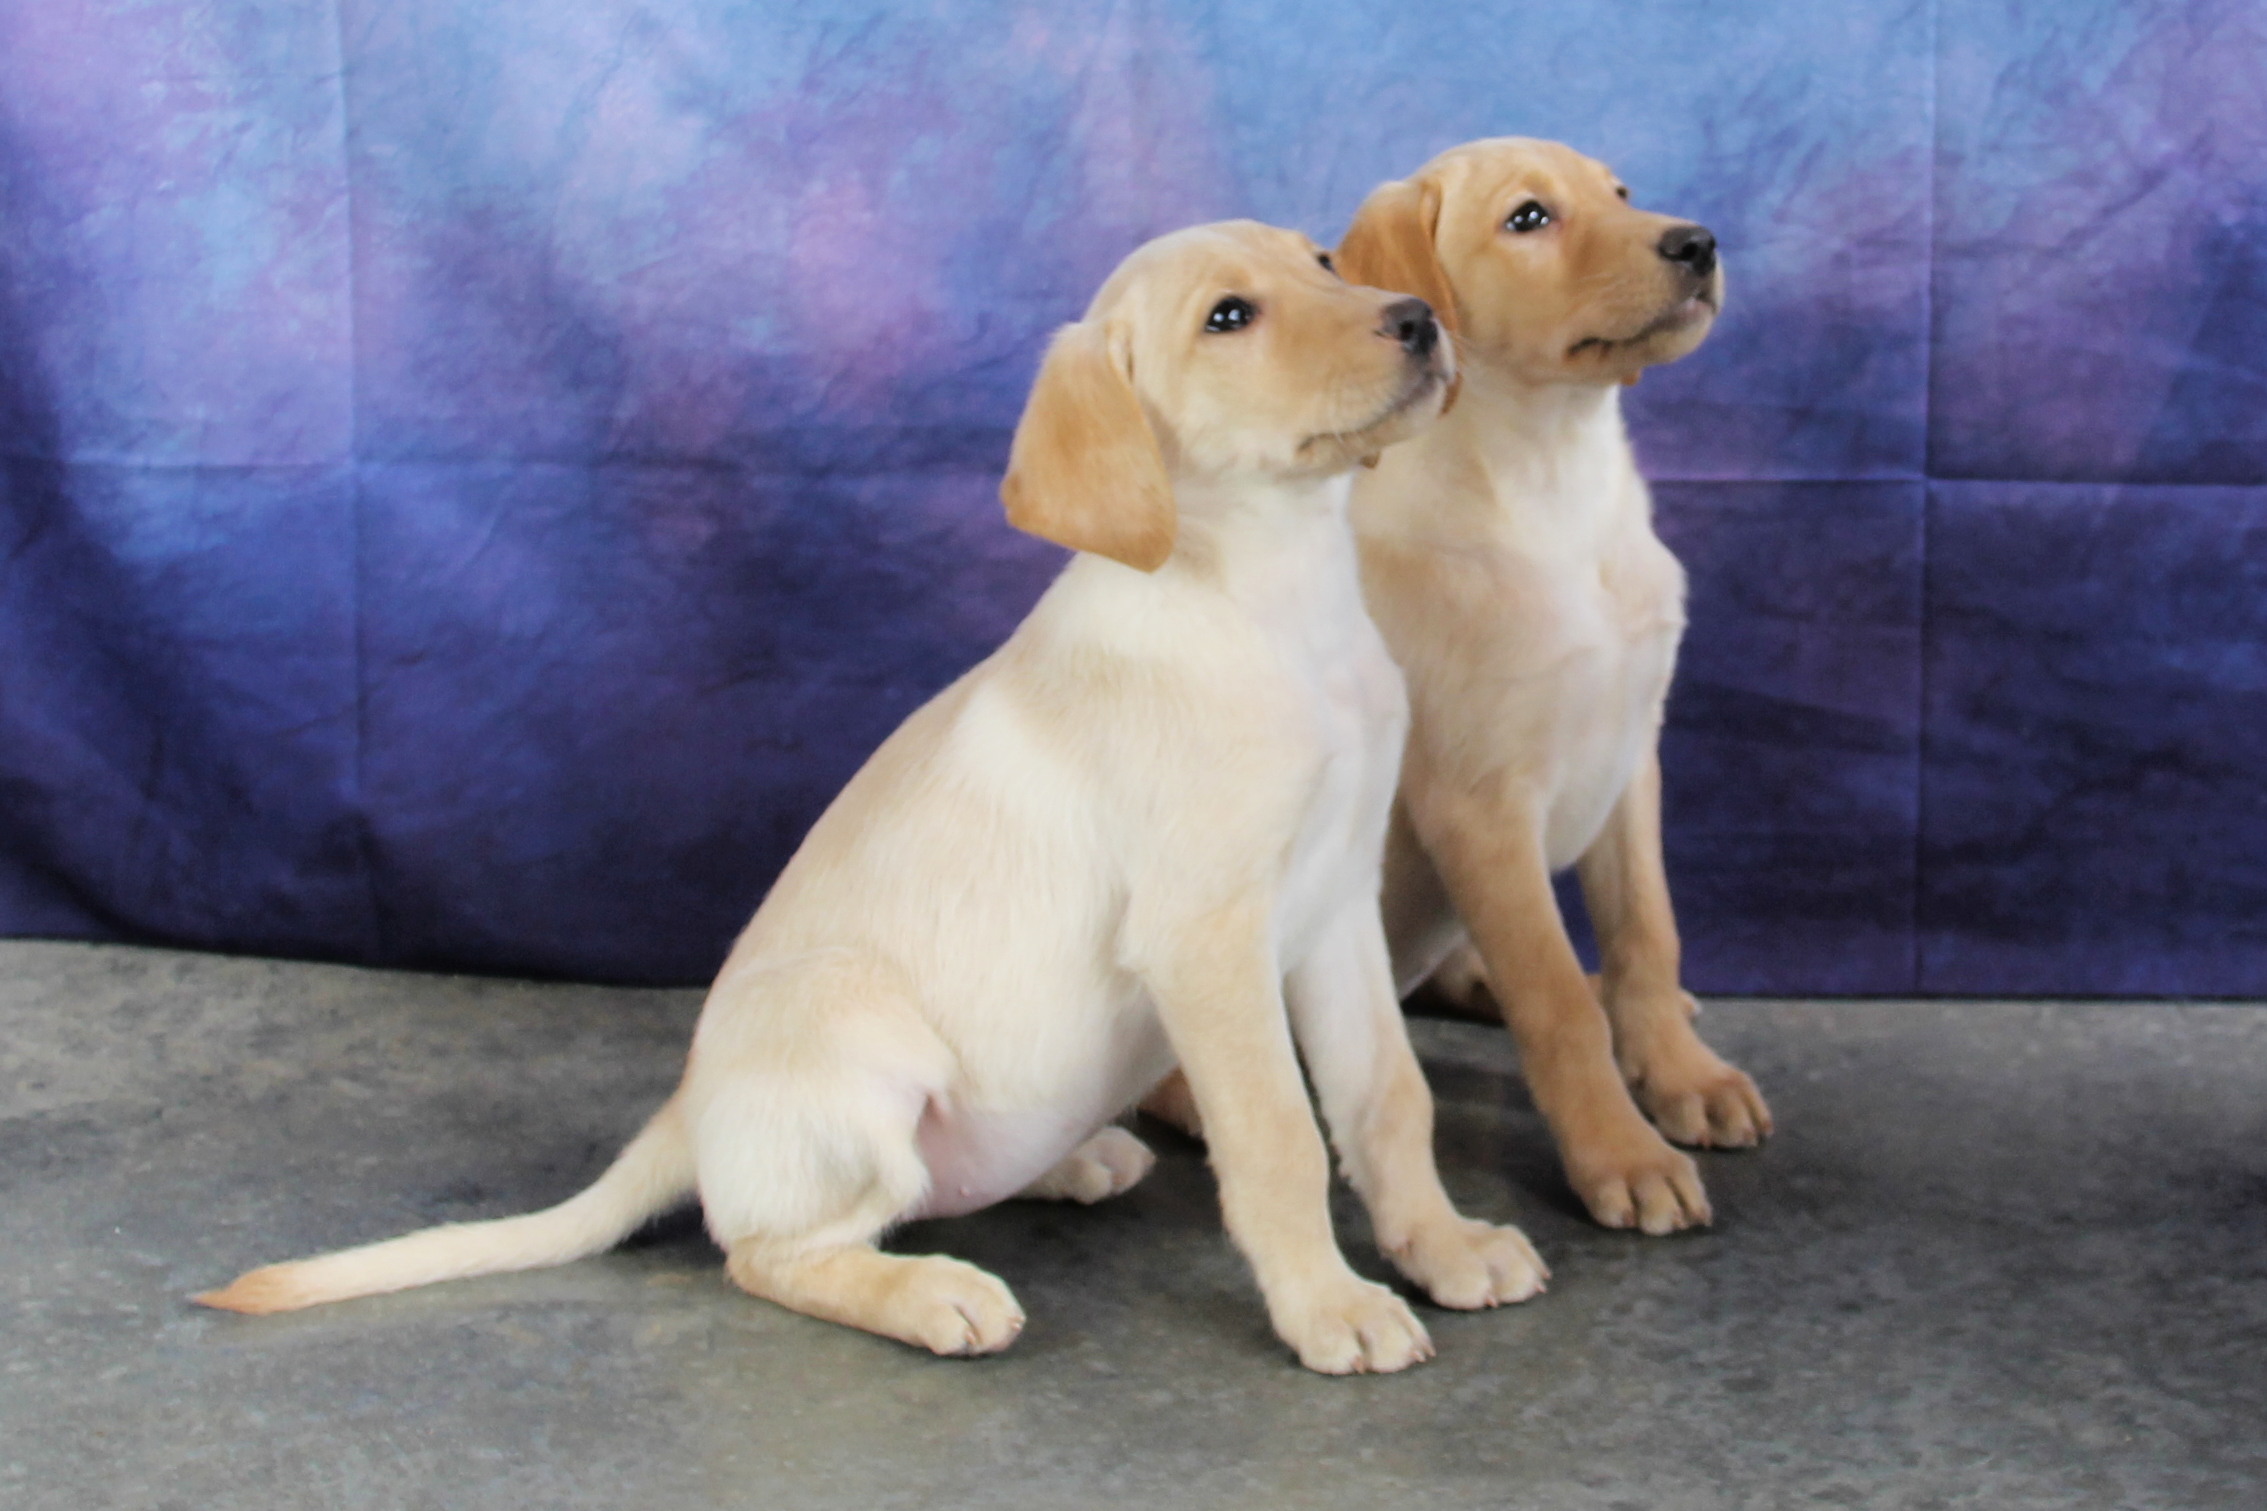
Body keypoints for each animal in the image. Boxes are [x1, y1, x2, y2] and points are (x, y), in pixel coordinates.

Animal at [194, 222, 1550, 1368]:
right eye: (1228, 316)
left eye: (1322, 260)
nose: (1417, 319)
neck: (1273, 601)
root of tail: (686, 1113)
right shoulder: (1205, 934)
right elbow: (1274, 1134)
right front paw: (1328, 1305)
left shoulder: (1331, 907)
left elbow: (1386, 1095)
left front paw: (1441, 1247)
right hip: (859, 1034)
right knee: (771, 1246)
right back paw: (928, 1291)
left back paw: (1072, 1157)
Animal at [1332, 135, 1777, 1232]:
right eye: (1528, 218)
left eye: (1618, 192)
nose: (1698, 242)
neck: (1553, 479)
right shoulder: (1480, 804)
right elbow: (1553, 1001)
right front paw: (1620, 1150)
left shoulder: (1631, 757)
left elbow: (1646, 936)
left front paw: (1680, 1073)